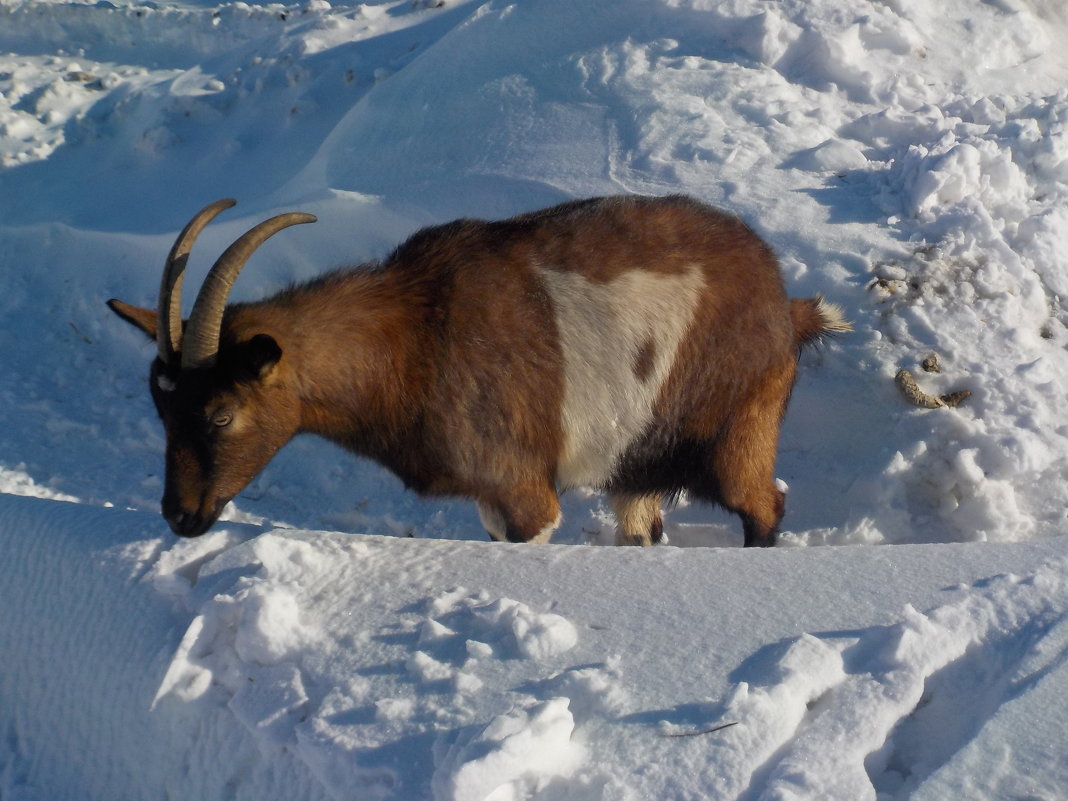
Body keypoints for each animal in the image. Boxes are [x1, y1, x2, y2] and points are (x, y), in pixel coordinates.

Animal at [108, 195, 850, 546]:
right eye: (161, 408)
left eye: (221, 413)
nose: (182, 516)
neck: (412, 338)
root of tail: (785, 302)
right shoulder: (489, 498)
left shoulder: (524, 490)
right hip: (633, 462)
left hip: (738, 435)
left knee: (766, 506)